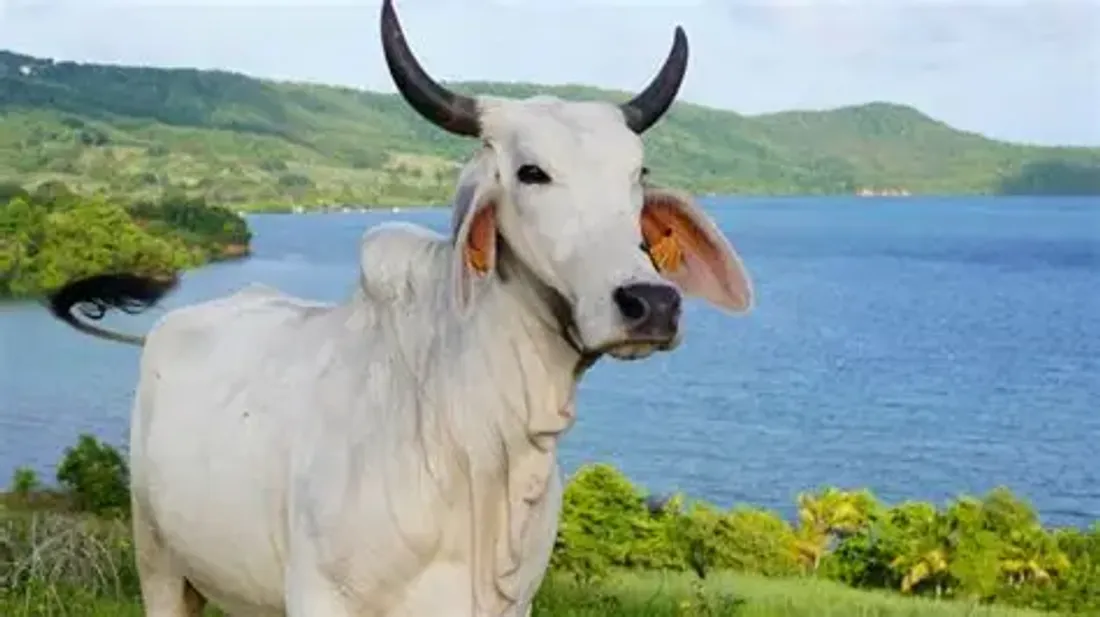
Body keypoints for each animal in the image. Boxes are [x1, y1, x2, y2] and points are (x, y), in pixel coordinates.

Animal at [41, 1, 754, 615]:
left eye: (638, 175)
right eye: (531, 172)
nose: (651, 302)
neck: (478, 444)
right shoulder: (319, 598)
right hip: (159, 562)